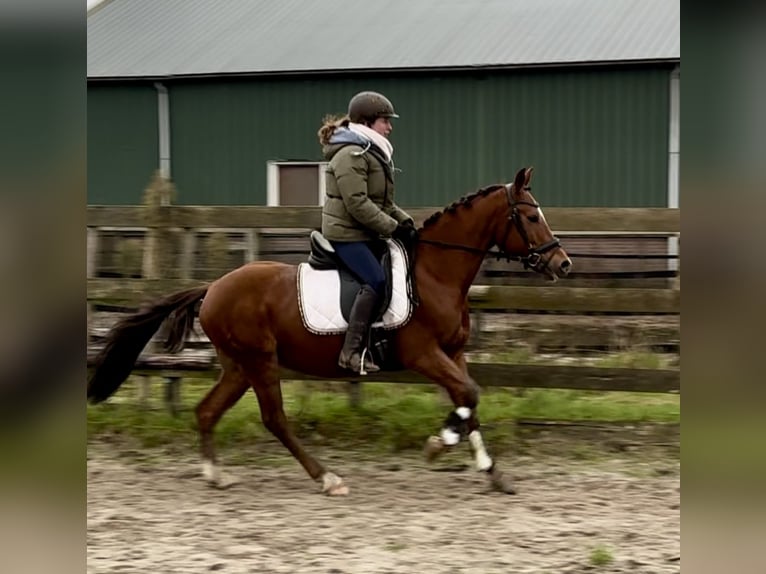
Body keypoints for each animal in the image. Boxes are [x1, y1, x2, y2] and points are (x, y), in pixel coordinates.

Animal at [88, 166, 568, 496]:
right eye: (530, 216)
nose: (562, 263)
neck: (436, 274)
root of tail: (213, 287)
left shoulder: (454, 353)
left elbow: (469, 401)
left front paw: (492, 471)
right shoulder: (424, 354)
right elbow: (468, 395)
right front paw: (439, 444)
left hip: (239, 366)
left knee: (207, 411)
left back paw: (216, 475)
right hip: (260, 362)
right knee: (274, 419)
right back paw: (327, 478)